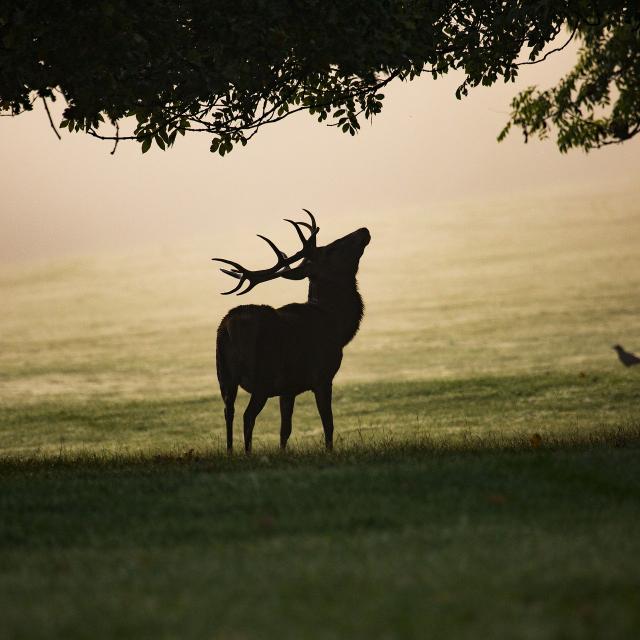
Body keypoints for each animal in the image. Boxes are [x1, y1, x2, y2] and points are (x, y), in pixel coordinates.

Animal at [213, 210, 370, 453]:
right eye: (331, 249)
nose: (363, 230)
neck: (337, 325)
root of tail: (228, 327)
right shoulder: (322, 376)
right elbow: (328, 423)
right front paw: (329, 452)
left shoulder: (287, 388)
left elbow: (284, 430)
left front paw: (282, 452)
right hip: (262, 375)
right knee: (248, 416)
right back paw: (247, 453)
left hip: (224, 375)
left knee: (228, 411)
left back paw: (230, 453)